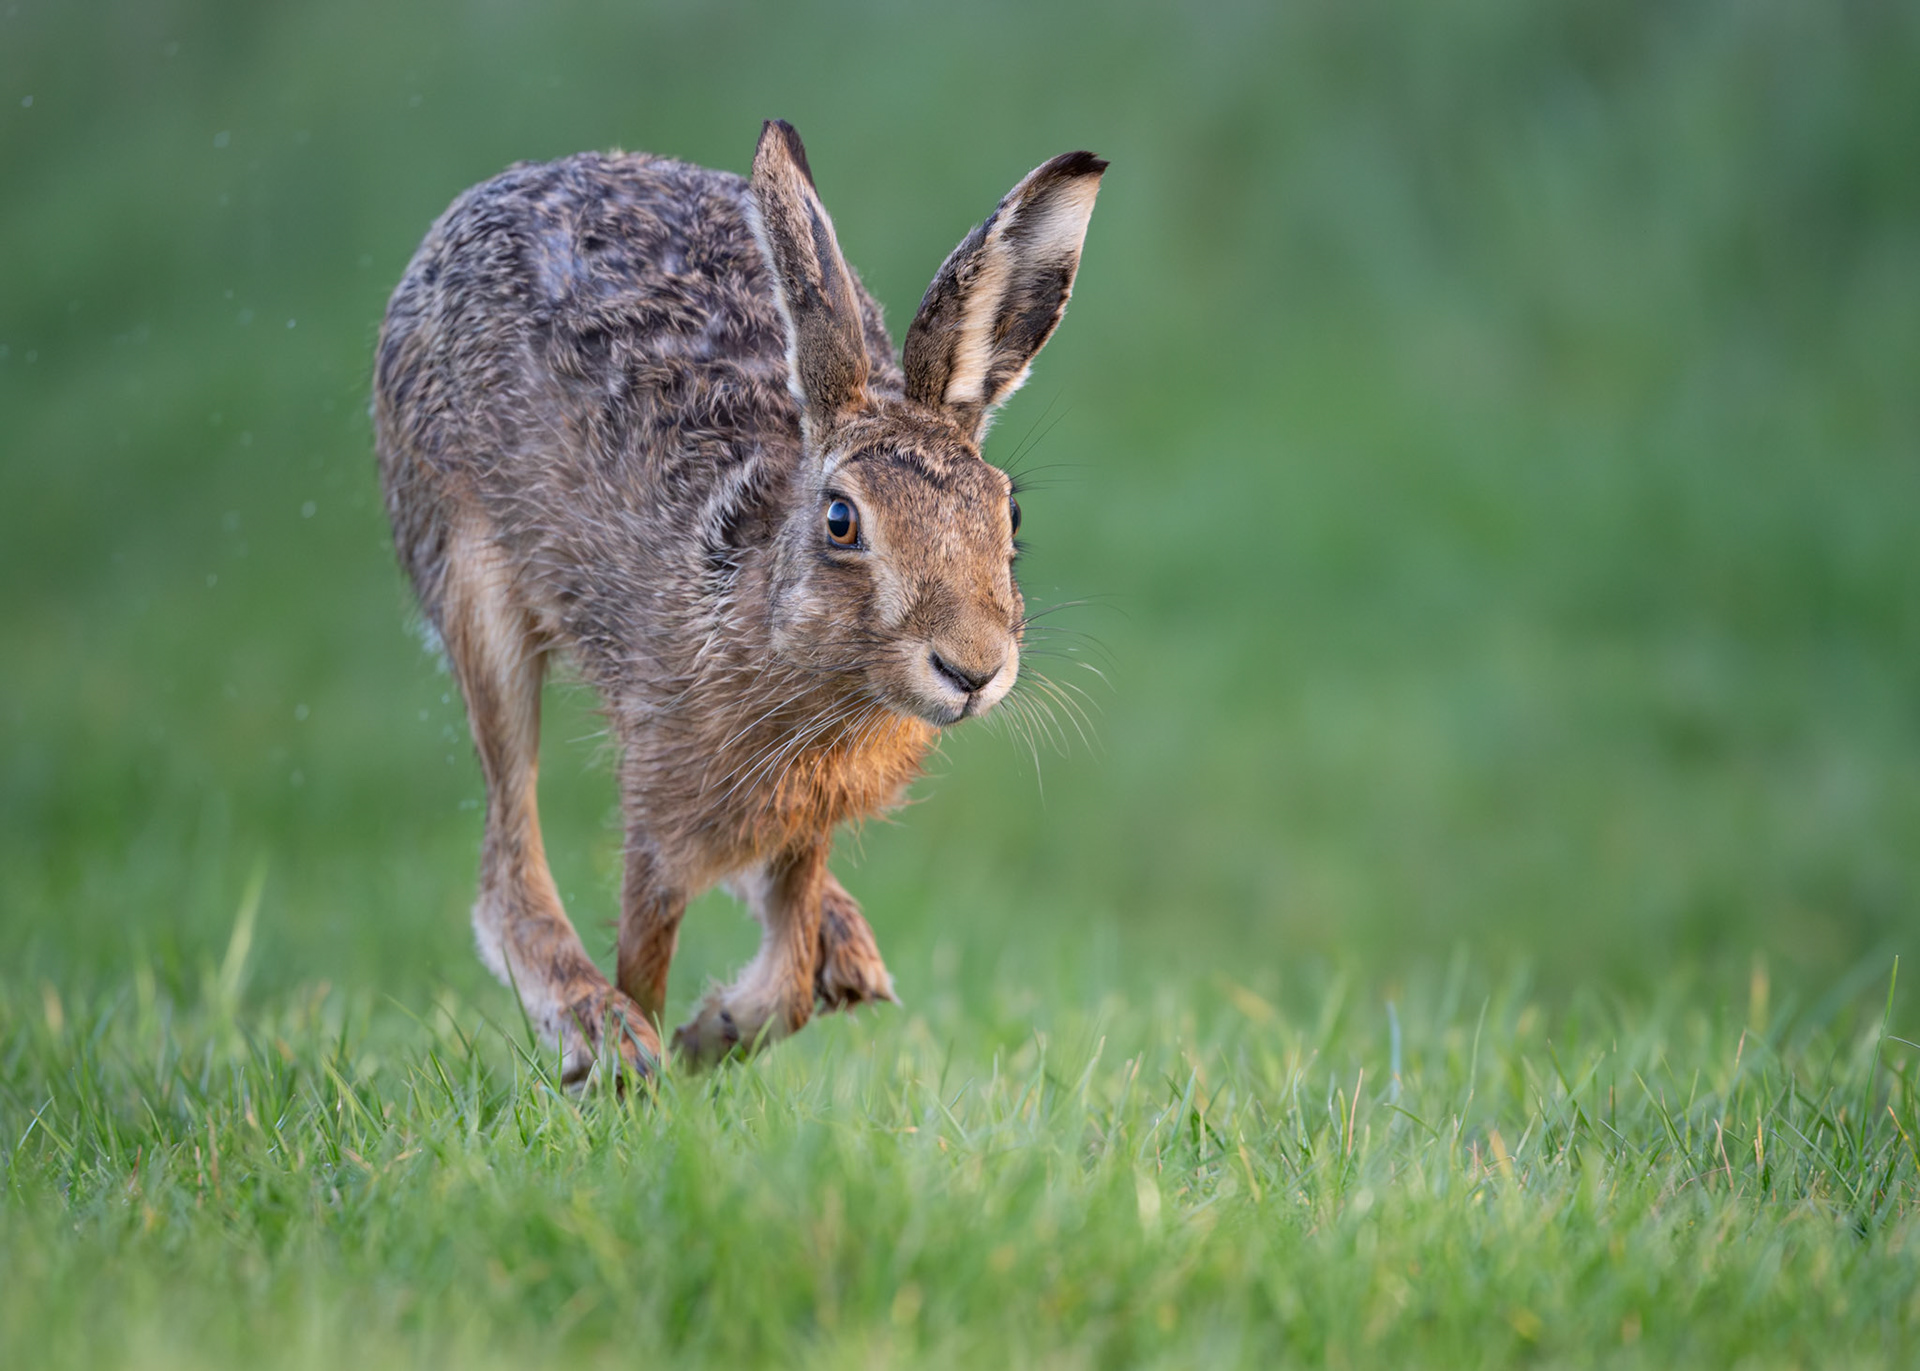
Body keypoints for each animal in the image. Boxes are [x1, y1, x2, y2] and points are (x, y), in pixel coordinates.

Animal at [373, 120, 1105, 1081]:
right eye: (842, 520)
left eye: (1007, 512)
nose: (973, 667)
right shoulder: (663, 801)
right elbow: (647, 949)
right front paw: (649, 1057)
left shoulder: (804, 818)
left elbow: (788, 968)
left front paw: (712, 1032)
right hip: (469, 580)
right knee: (506, 853)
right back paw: (593, 1025)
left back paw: (846, 949)